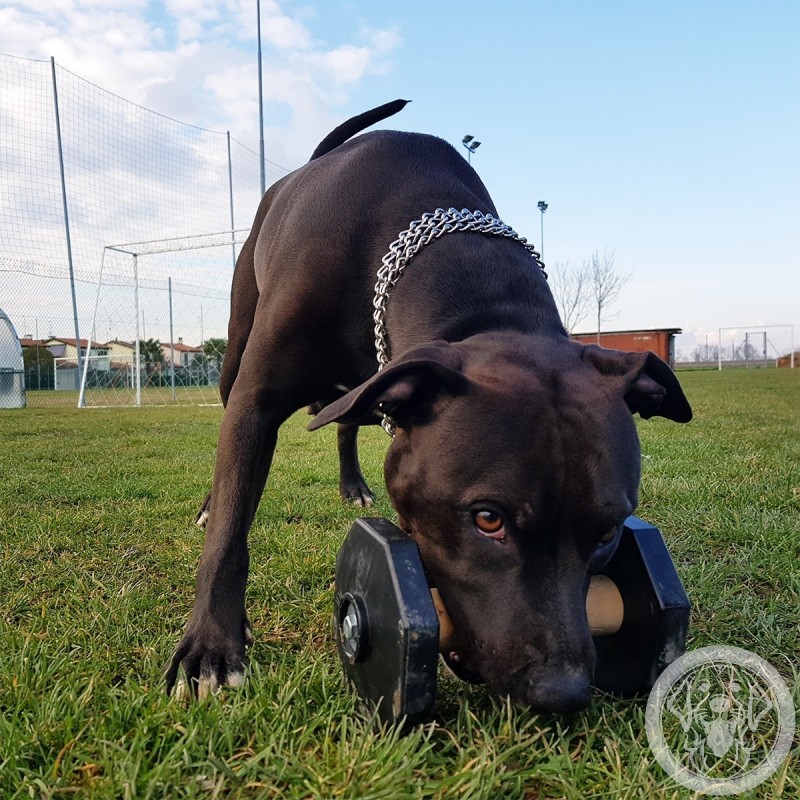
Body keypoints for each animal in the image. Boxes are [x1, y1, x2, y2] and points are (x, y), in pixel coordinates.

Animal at [167, 101, 688, 712]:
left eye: (608, 534)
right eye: (487, 519)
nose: (561, 692)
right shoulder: (258, 398)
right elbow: (232, 524)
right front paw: (211, 645)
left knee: (343, 424)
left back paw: (352, 485)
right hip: (237, 345)